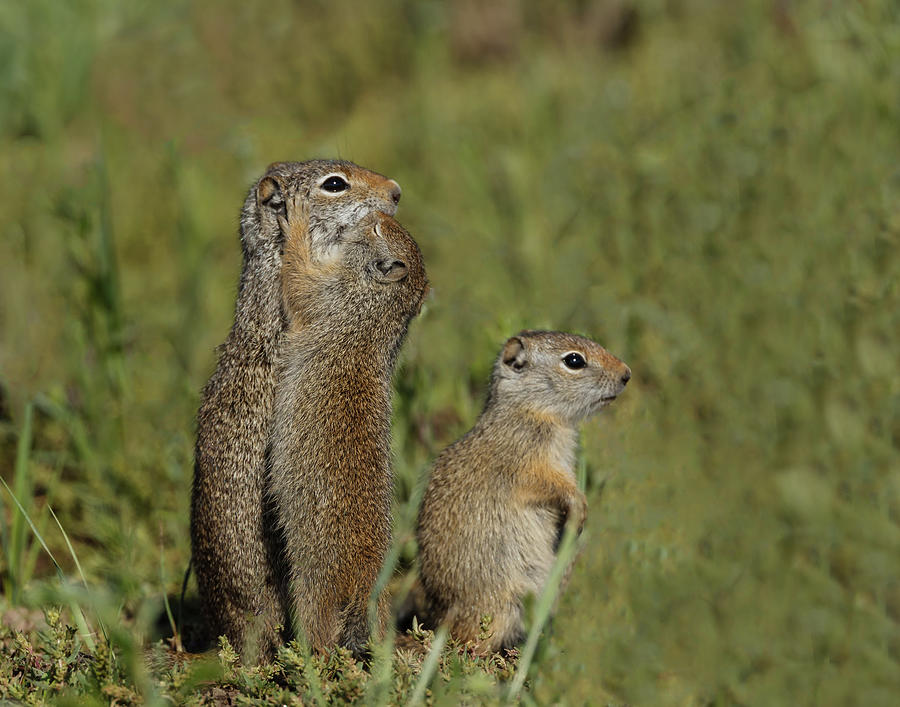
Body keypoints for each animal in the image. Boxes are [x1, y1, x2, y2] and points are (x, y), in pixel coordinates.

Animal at [268, 207, 428, 660]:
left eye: (377, 229)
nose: (378, 211)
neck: (377, 308)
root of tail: (363, 582)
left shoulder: (330, 295)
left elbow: (299, 280)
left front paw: (296, 222)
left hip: (311, 585)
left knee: (319, 627)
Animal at [416, 330, 632, 652]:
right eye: (574, 360)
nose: (627, 374)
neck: (530, 410)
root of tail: (440, 624)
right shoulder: (527, 465)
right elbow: (556, 486)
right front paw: (579, 510)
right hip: (502, 606)